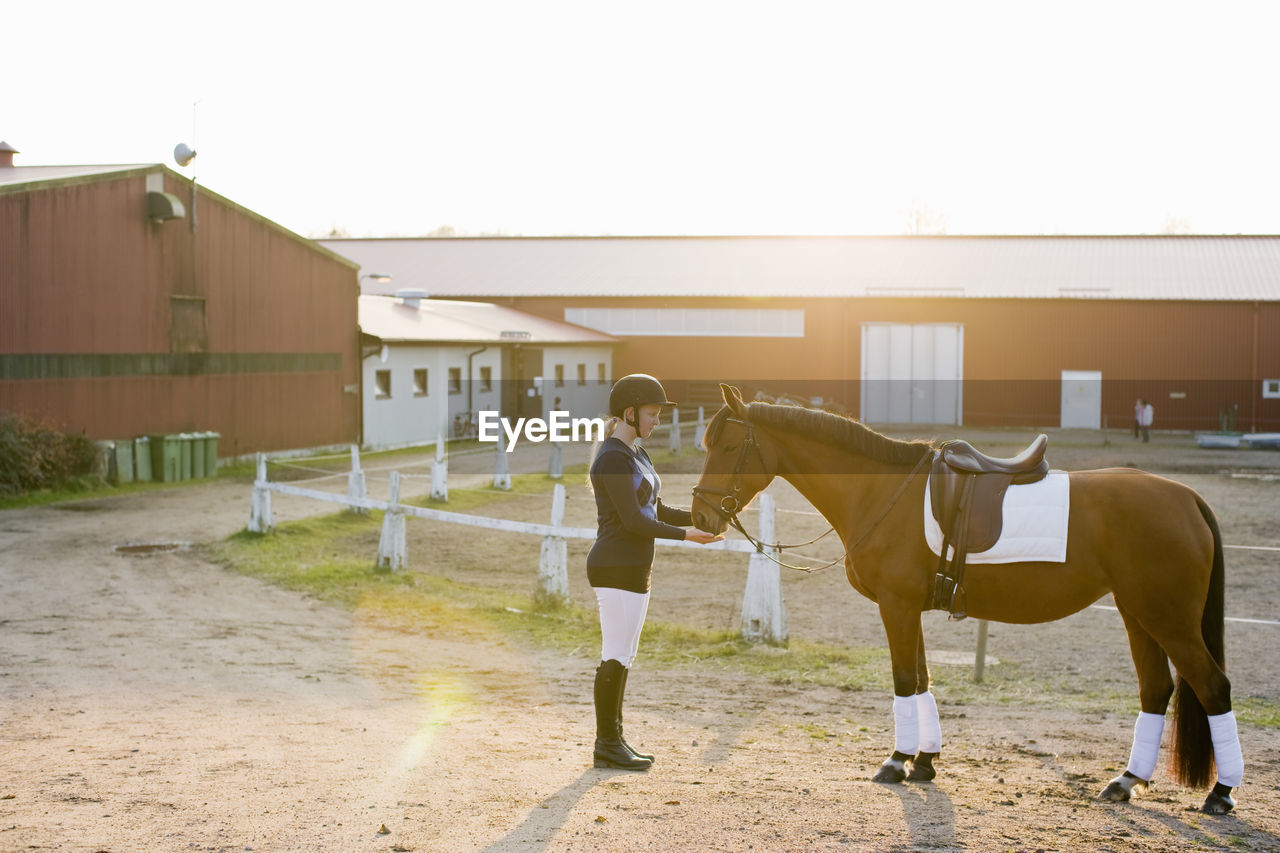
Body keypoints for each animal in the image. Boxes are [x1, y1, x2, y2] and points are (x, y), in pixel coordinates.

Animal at [691, 384, 1239, 809]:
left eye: (728, 446)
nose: (700, 517)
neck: (881, 492)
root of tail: (1187, 497)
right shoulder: (908, 607)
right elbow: (922, 681)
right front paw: (925, 761)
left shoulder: (896, 606)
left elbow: (904, 680)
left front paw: (896, 762)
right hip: (1137, 614)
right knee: (1156, 690)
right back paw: (1126, 782)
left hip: (1168, 620)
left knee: (1213, 687)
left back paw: (1222, 793)